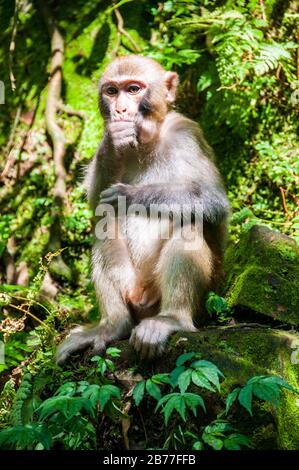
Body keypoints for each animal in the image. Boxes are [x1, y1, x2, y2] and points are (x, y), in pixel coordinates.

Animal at [56, 55, 230, 364]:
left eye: (134, 89)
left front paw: (130, 195)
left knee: (188, 223)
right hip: (133, 289)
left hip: (195, 294)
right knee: (104, 224)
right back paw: (113, 325)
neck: (150, 140)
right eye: (112, 91)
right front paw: (113, 139)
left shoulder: (186, 134)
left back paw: (172, 319)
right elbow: (96, 203)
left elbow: (213, 201)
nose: (121, 110)